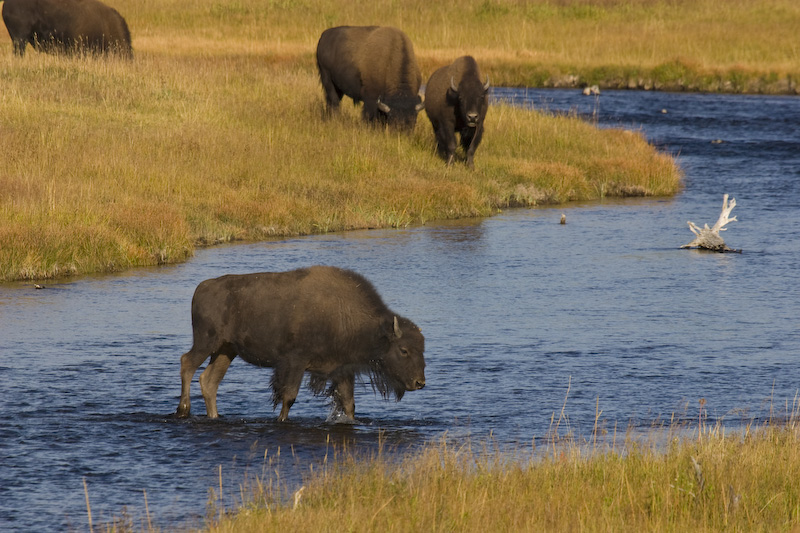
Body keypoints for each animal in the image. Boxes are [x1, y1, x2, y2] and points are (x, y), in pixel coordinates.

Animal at [174, 264, 424, 420]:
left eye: (421, 348)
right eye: (403, 350)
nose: (420, 382)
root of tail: (202, 287)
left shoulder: (342, 370)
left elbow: (349, 403)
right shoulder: (295, 362)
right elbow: (289, 397)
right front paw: (281, 420)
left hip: (226, 350)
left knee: (209, 381)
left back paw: (213, 415)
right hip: (207, 342)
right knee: (187, 363)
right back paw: (183, 410)